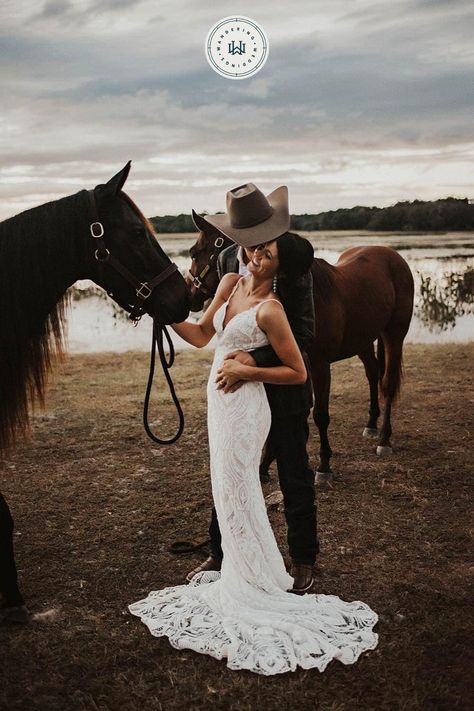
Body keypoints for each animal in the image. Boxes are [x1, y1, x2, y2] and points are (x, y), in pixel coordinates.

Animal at [187, 222, 412, 482]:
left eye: (194, 253)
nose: (188, 295)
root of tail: (392, 256)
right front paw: (264, 465)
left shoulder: (319, 366)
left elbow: (320, 415)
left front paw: (324, 466)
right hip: (364, 339)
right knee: (373, 373)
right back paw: (372, 424)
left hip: (394, 334)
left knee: (387, 382)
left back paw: (384, 438)